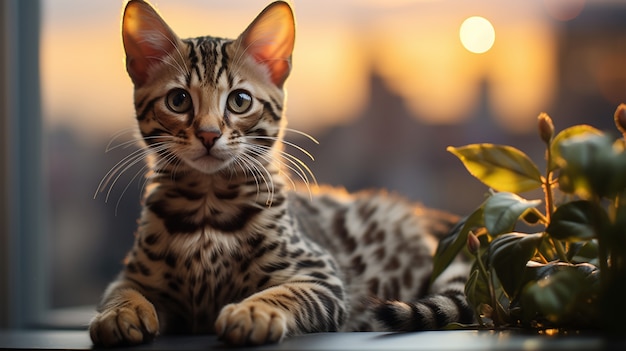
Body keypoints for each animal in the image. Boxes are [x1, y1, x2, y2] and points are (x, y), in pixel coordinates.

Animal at [86, 0, 468, 346]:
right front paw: (119, 312)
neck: (207, 207)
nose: (209, 134)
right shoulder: (136, 276)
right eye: (178, 100)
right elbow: (120, 290)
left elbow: (285, 292)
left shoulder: (320, 274)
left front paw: (252, 311)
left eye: (239, 100)